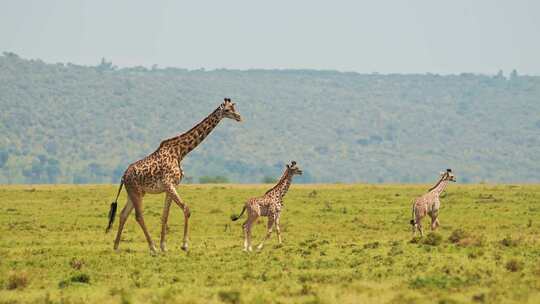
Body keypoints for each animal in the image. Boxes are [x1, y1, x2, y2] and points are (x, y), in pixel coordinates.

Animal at [105, 98, 240, 253]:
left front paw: (164, 246)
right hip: (135, 192)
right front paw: (184, 245)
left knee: (123, 214)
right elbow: (186, 209)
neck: (180, 152)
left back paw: (116, 246)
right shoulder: (168, 184)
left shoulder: (170, 187)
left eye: (234, 108)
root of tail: (123, 176)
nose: (239, 117)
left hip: (135, 193)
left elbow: (165, 215)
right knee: (138, 216)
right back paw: (152, 247)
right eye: (228, 110)